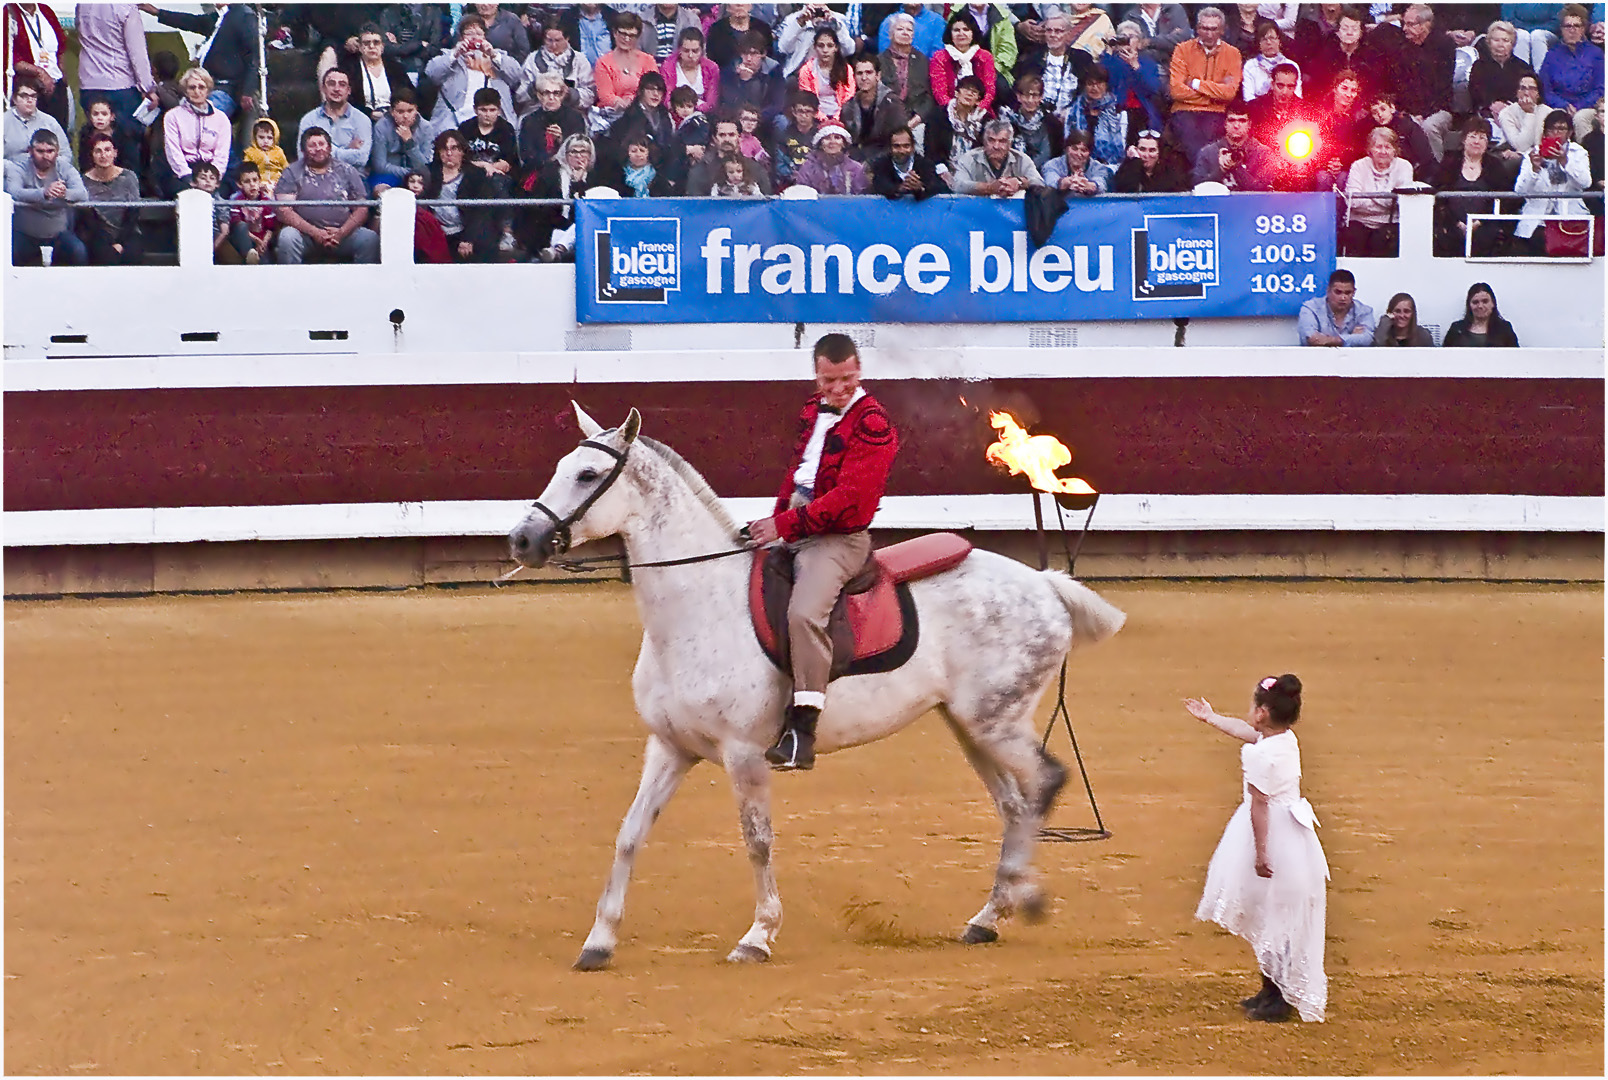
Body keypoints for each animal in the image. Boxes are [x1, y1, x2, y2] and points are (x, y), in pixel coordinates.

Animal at [508, 405, 1125, 970]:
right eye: (561, 467)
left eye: (588, 474)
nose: (522, 539)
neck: (700, 602)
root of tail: (1045, 585)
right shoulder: (669, 747)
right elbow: (630, 833)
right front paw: (599, 942)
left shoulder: (743, 753)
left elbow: (757, 839)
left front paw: (757, 936)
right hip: (970, 726)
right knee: (1015, 804)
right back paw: (991, 914)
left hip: (996, 721)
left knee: (1044, 783)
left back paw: (1020, 898)